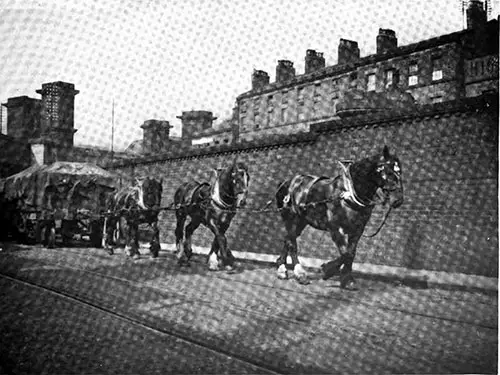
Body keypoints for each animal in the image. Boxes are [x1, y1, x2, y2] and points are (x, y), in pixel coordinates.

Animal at [276, 147, 404, 290]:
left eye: (400, 171)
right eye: (388, 170)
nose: (398, 199)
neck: (347, 194)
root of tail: (284, 183)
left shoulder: (357, 229)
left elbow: (351, 253)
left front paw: (346, 278)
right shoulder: (336, 229)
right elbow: (346, 254)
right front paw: (328, 270)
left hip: (301, 222)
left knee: (287, 239)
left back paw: (282, 269)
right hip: (291, 219)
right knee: (292, 243)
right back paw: (299, 274)